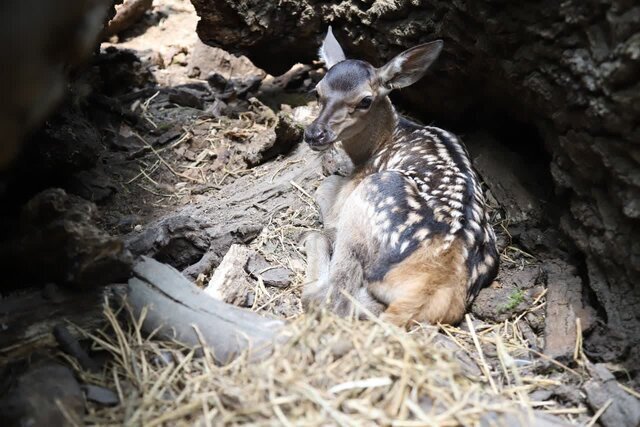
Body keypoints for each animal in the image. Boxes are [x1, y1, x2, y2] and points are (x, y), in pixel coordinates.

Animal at [300, 27, 500, 328]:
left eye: (365, 100)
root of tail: (432, 286)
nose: (315, 133)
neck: (381, 143)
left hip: (370, 195)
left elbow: (324, 189)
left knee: (331, 296)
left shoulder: (355, 183)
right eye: (317, 92)